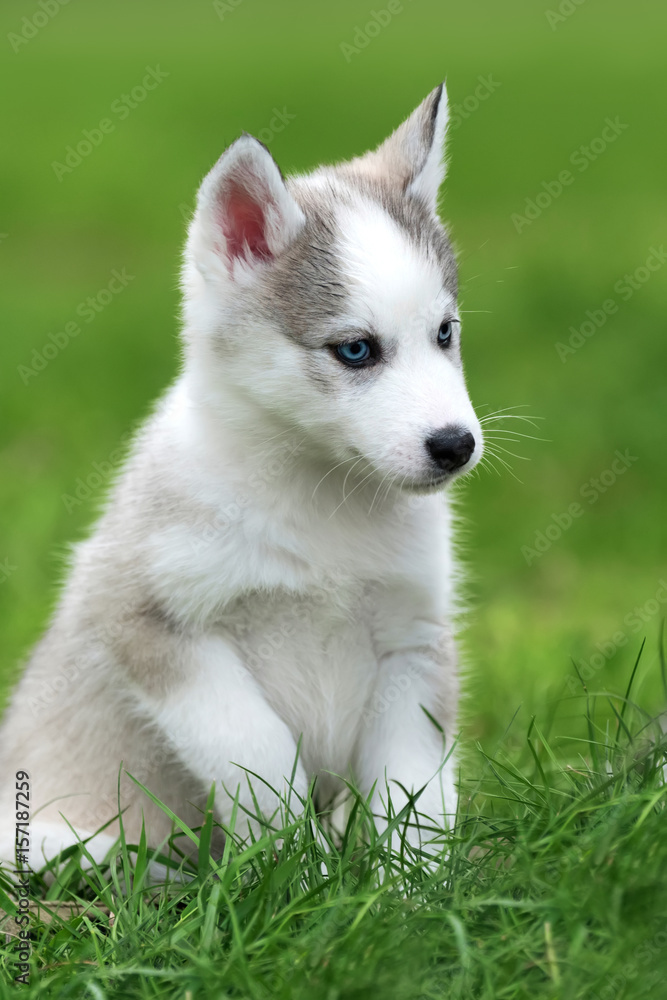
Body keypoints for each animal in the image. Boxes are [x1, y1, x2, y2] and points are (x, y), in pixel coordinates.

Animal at [0, 84, 486, 868]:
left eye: (444, 333)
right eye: (355, 349)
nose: (455, 445)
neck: (322, 502)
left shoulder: (411, 645)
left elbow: (415, 799)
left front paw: (413, 891)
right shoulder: (156, 626)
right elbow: (261, 753)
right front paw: (301, 871)